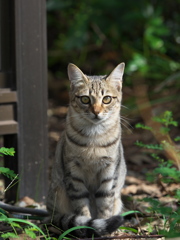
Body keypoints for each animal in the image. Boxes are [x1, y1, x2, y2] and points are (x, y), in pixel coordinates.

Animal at [47, 62, 127, 237]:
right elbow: (82, 207)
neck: (94, 139)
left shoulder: (109, 173)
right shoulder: (73, 174)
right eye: (85, 99)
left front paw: (103, 228)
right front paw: (87, 228)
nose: (96, 112)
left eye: (107, 99)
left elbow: (105, 205)